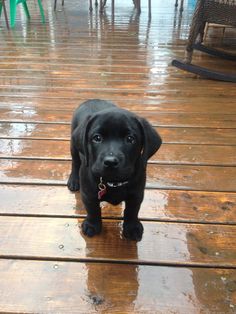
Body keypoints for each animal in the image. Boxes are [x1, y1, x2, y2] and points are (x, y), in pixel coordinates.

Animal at [67, 99, 161, 242]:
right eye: (97, 138)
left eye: (130, 139)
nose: (110, 162)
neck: (114, 182)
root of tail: (91, 99)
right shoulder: (88, 194)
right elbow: (93, 210)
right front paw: (92, 225)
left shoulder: (137, 194)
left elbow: (132, 211)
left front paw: (132, 227)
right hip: (73, 145)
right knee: (75, 162)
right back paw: (73, 180)